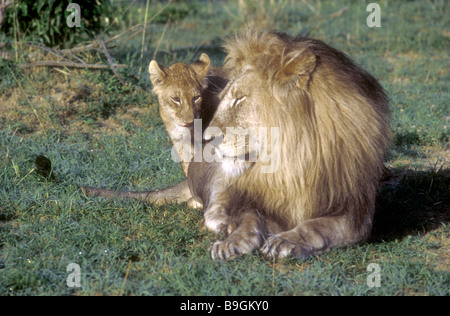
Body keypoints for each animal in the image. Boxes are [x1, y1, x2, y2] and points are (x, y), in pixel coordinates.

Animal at [197, 30, 390, 260]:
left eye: (240, 98)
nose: (206, 138)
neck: (293, 165)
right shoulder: (257, 199)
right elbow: (250, 217)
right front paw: (232, 241)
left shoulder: (356, 211)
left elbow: (317, 226)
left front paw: (285, 241)